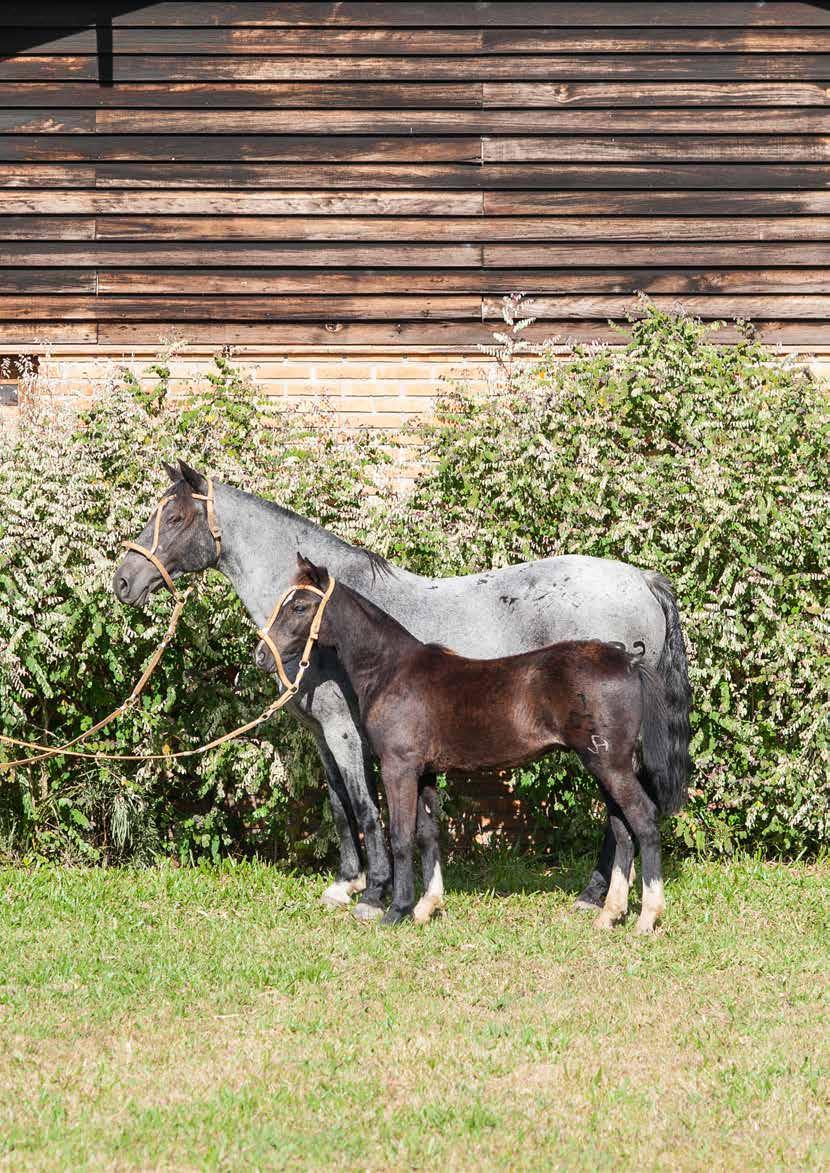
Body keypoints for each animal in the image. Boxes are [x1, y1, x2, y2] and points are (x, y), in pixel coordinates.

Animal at [254, 556, 675, 933]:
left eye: (300, 606)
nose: (261, 656)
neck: (392, 671)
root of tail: (629, 662)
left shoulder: (398, 768)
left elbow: (401, 836)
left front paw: (395, 910)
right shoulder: (424, 772)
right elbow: (427, 834)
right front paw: (426, 907)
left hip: (610, 765)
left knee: (644, 821)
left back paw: (646, 917)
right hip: (603, 765)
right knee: (622, 829)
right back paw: (609, 914)